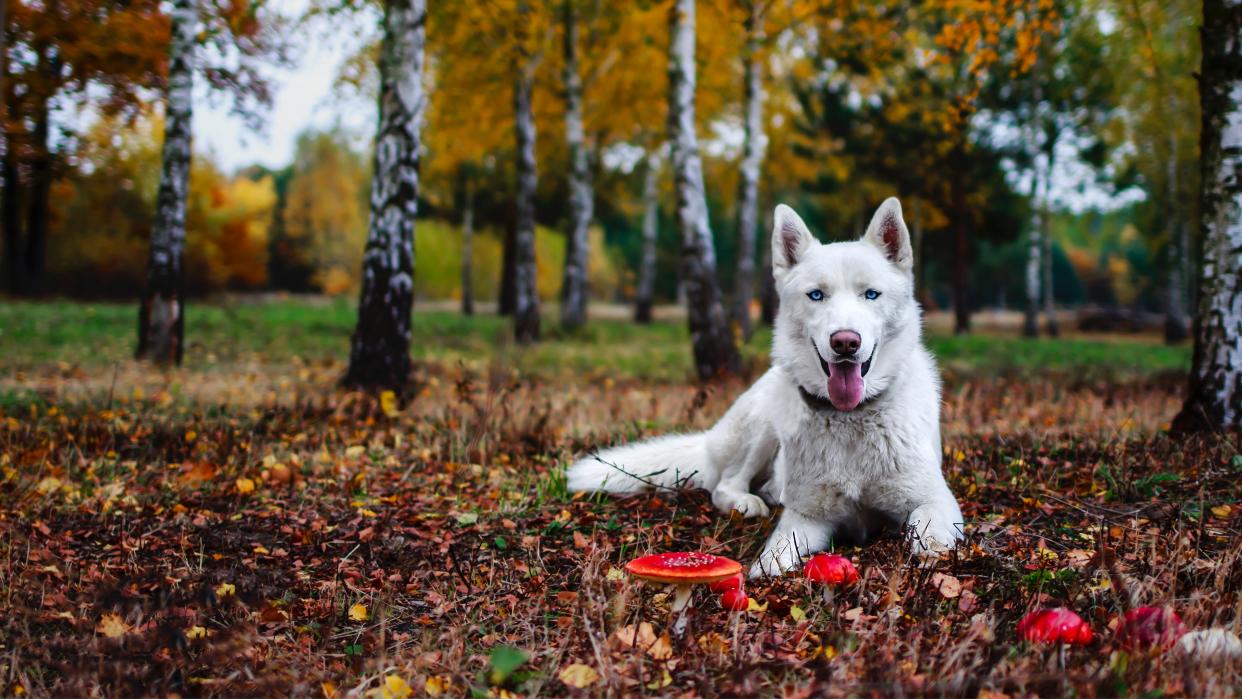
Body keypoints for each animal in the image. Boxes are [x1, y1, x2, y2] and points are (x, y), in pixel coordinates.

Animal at [568, 198, 963, 581]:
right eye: (816, 295)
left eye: (871, 294)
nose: (845, 342)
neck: (851, 419)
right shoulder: (808, 516)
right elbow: (776, 551)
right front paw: (764, 572)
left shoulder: (938, 502)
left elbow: (927, 533)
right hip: (762, 424)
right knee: (723, 486)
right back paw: (748, 502)